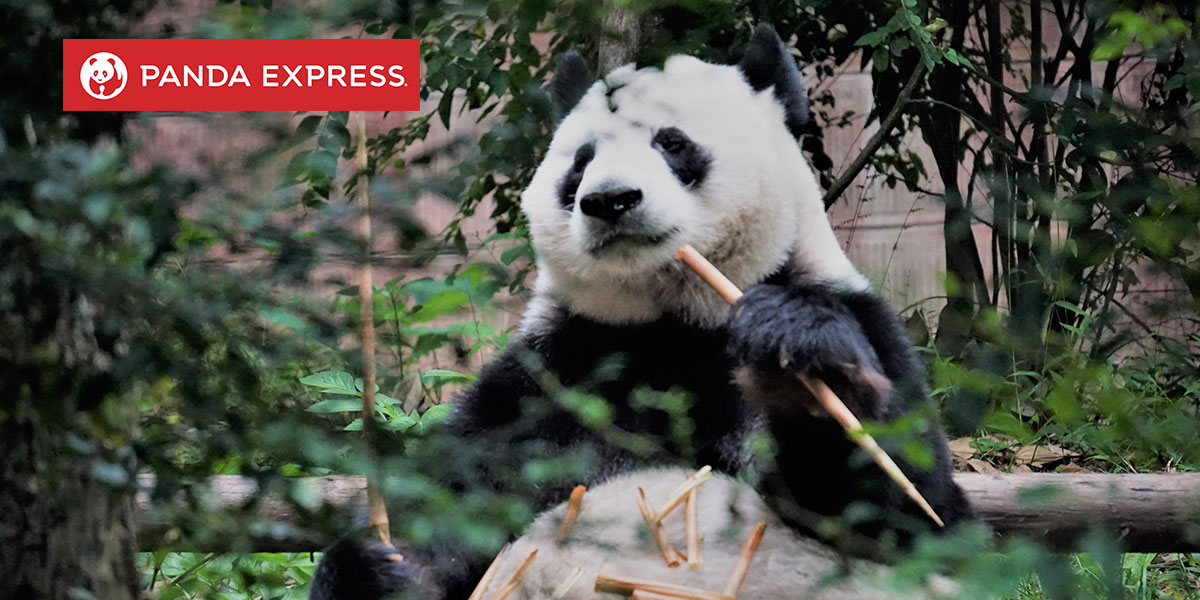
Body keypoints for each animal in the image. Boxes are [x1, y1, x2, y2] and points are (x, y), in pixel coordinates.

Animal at [310, 24, 974, 600]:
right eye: (580, 162)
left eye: (671, 143)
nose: (610, 200)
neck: (672, 322)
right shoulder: (554, 374)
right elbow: (462, 496)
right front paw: (380, 569)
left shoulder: (863, 322)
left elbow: (919, 517)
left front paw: (803, 359)